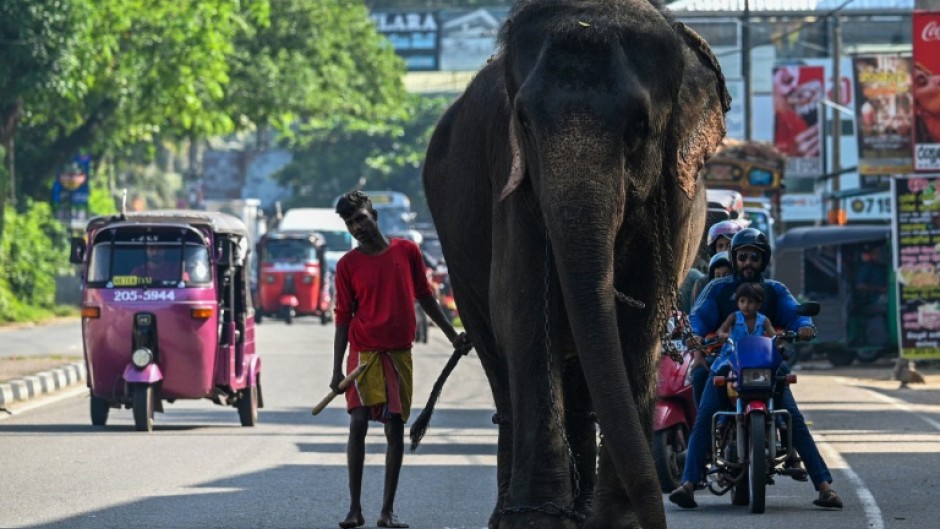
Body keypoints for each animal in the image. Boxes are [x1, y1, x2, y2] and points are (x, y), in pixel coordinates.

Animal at [422, 2, 732, 524]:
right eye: (523, 121)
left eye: (639, 126)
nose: (655, 517)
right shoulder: (510, 179)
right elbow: (521, 307)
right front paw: (535, 521)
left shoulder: (672, 200)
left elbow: (644, 318)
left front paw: (615, 522)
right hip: (456, 251)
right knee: (497, 359)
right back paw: (511, 514)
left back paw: (582, 512)